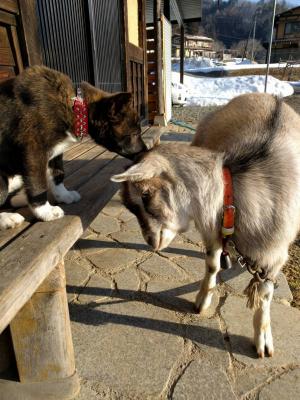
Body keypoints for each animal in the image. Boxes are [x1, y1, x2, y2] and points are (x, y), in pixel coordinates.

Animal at [111, 94, 300, 360]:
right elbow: (212, 264)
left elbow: (263, 295)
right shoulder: (214, 231)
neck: (233, 196)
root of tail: (268, 96)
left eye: (146, 195)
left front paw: (263, 340)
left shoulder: (273, 256)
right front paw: (202, 301)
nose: (150, 242)